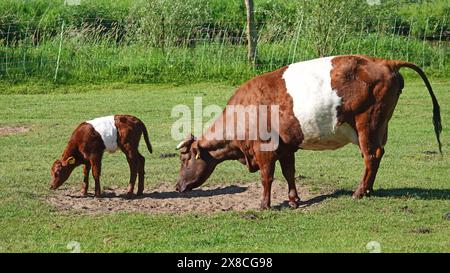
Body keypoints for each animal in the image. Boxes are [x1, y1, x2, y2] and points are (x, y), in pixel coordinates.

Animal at [174, 54, 442, 208]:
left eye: (184, 160)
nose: (177, 187)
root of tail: (385, 62)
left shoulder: (265, 150)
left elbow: (267, 177)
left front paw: (264, 205)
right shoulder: (286, 148)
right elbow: (289, 173)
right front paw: (294, 200)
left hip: (367, 124)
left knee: (371, 156)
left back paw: (358, 192)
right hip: (379, 127)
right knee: (376, 156)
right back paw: (368, 190)